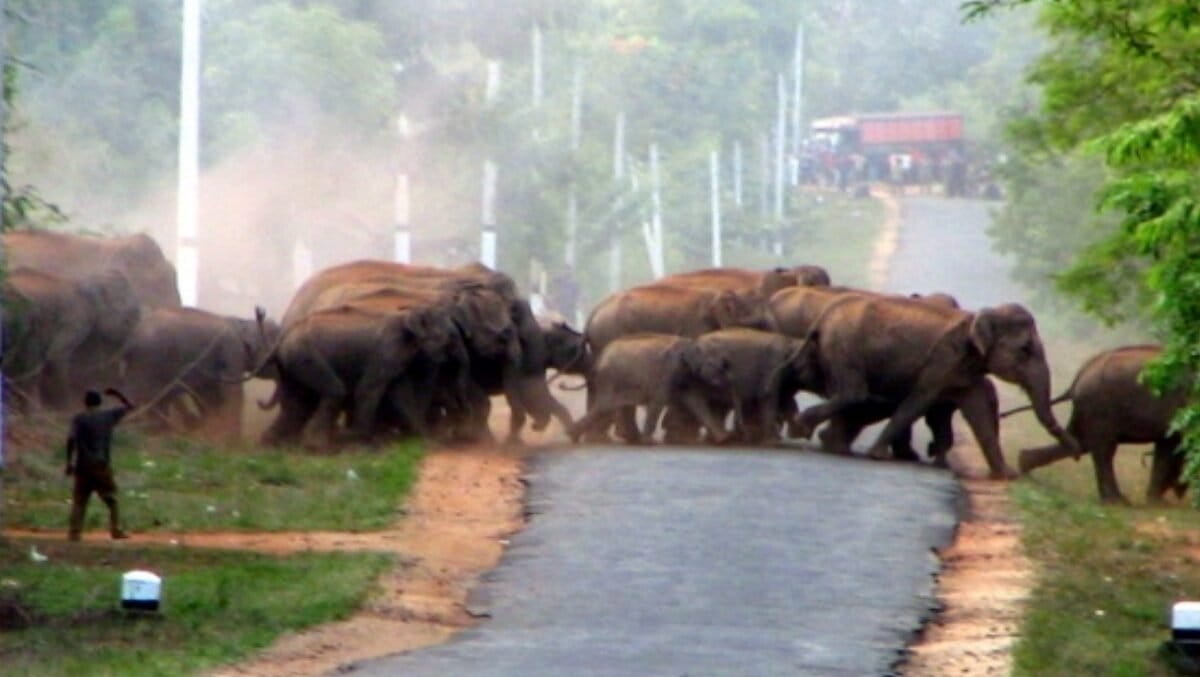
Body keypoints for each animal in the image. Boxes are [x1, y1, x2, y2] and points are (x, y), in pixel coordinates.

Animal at [115, 307, 279, 439]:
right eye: (274, 358)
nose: (259, 401)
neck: (243, 323)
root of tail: (129, 343)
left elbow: (208, 395)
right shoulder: (232, 350)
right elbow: (233, 393)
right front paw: (232, 441)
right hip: (150, 363)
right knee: (146, 399)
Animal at [567, 334, 731, 445]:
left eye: (722, 365)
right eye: (711, 364)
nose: (721, 382)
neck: (692, 342)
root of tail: (599, 359)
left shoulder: (686, 377)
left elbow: (696, 402)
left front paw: (723, 438)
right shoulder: (668, 371)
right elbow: (658, 401)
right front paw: (649, 442)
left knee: (618, 407)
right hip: (610, 378)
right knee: (605, 407)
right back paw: (572, 435)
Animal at [794, 295, 1075, 479]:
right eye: (1025, 349)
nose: (1075, 454)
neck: (976, 317)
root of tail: (822, 318)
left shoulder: (965, 371)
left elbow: (979, 413)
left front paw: (1006, 475)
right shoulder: (942, 360)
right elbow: (919, 400)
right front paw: (877, 456)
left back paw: (829, 443)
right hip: (842, 347)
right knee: (853, 393)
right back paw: (803, 430)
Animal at [1010, 344, 1188, 504]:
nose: (1180, 493)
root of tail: (1080, 375)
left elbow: (1165, 446)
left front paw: (1156, 501)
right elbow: (1169, 446)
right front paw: (1159, 502)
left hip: (1088, 409)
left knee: (1080, 443)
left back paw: (1024, 464)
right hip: (1099, 408)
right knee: (1103, 450)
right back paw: (1117, 501)